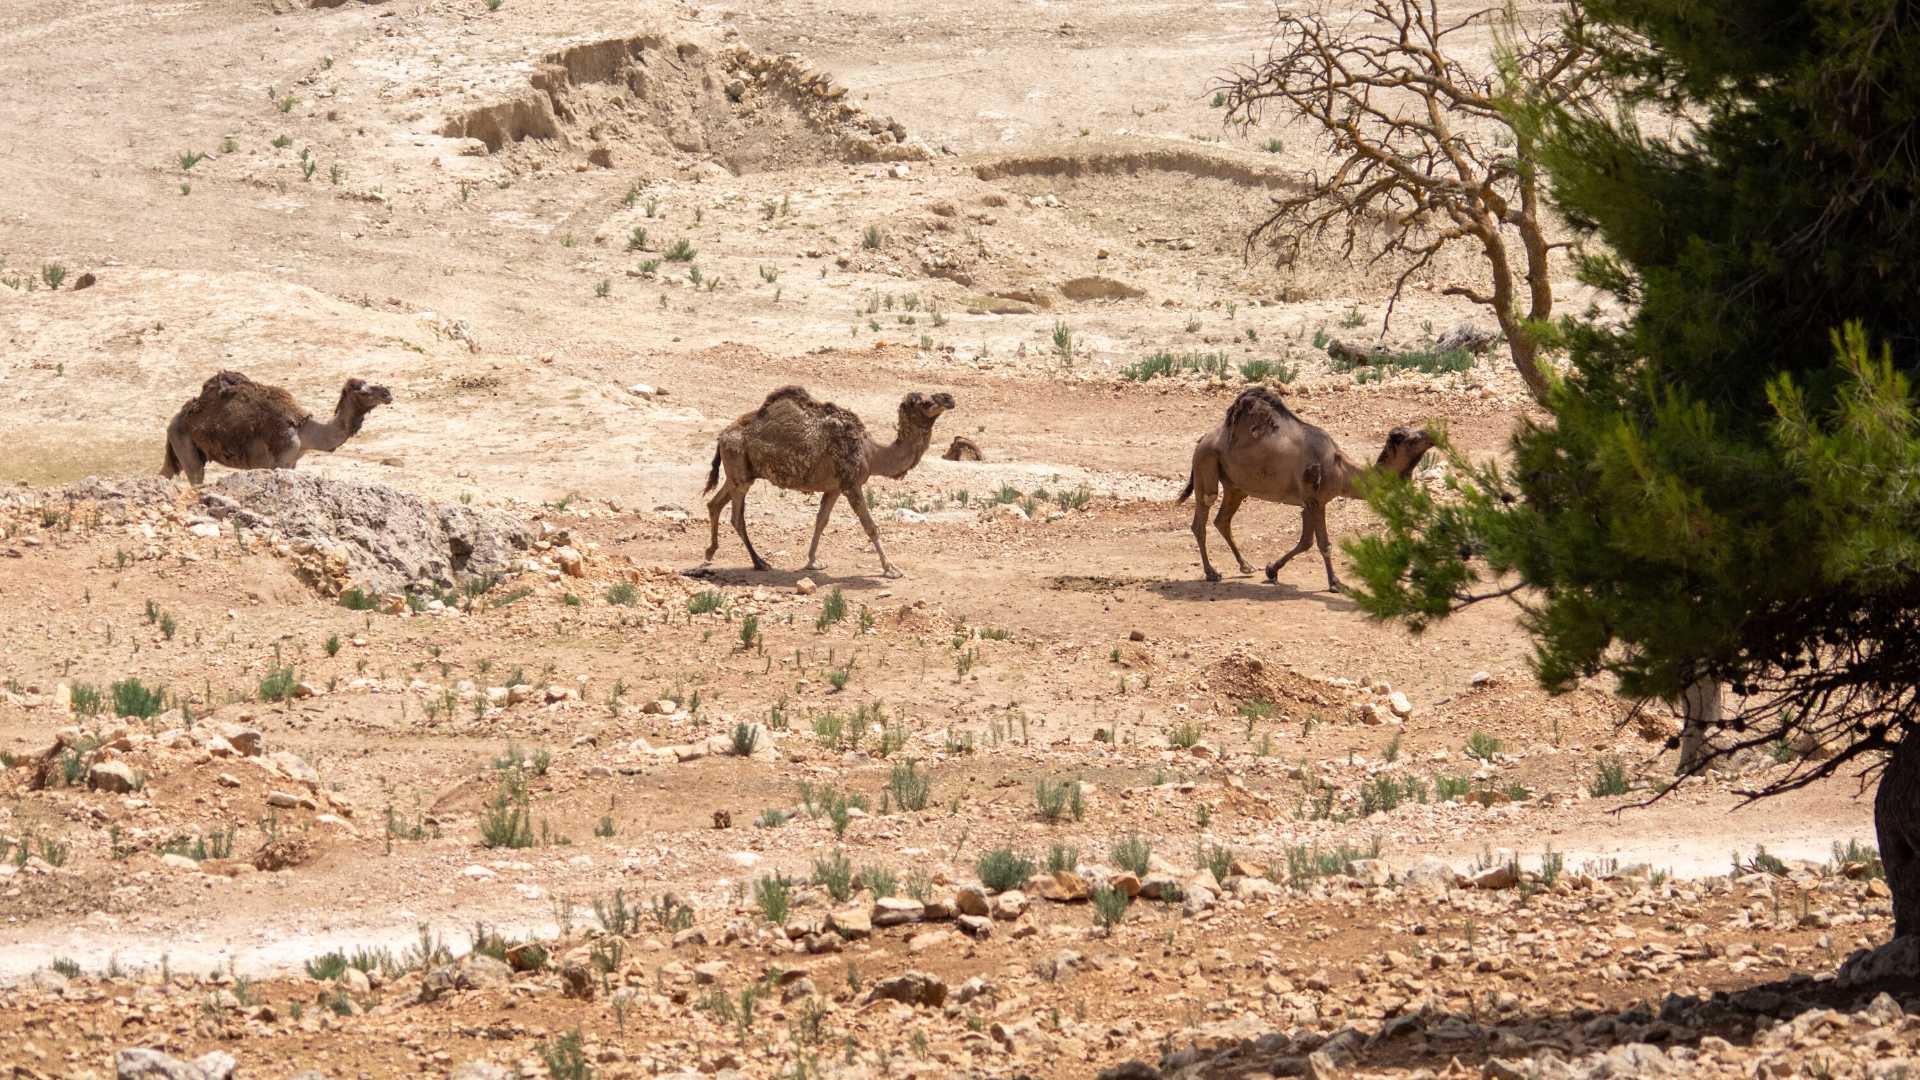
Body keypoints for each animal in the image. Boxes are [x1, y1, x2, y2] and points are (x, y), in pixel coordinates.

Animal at [162, 372, 393, 486]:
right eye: (363, 392)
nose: (387, 393)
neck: (305, 431)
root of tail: (175, 420)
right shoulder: (280, 460)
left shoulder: (293, 462)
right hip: (185, 445)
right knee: (195, 476)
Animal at [706, 382, 952, 576]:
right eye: (924, 402)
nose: (949, 398)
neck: (871, 453)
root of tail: (722, 436)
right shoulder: (851, 483)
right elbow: (870, 526)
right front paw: (890, 568)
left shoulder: (834, 488)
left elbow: (821, 521)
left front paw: (813, 562)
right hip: (739, 469)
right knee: (737, 517)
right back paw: (760, 562)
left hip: (738, 473)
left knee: (714, 503)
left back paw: (711, 552)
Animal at [1175, 386, 1436, 588]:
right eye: (1413, 439)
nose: (1432, 434)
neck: (1340, 469)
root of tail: (1203, 439)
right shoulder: (1315, 499)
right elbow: (1323, 543)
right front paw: (1335, 583)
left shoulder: (1310, 503)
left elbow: (1306, 542)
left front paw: (1272, 570)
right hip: (1206, 463)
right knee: (1201, 518)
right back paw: (1211, 573)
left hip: (1235, 486)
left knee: (1222, 520)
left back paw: (1246, 565)